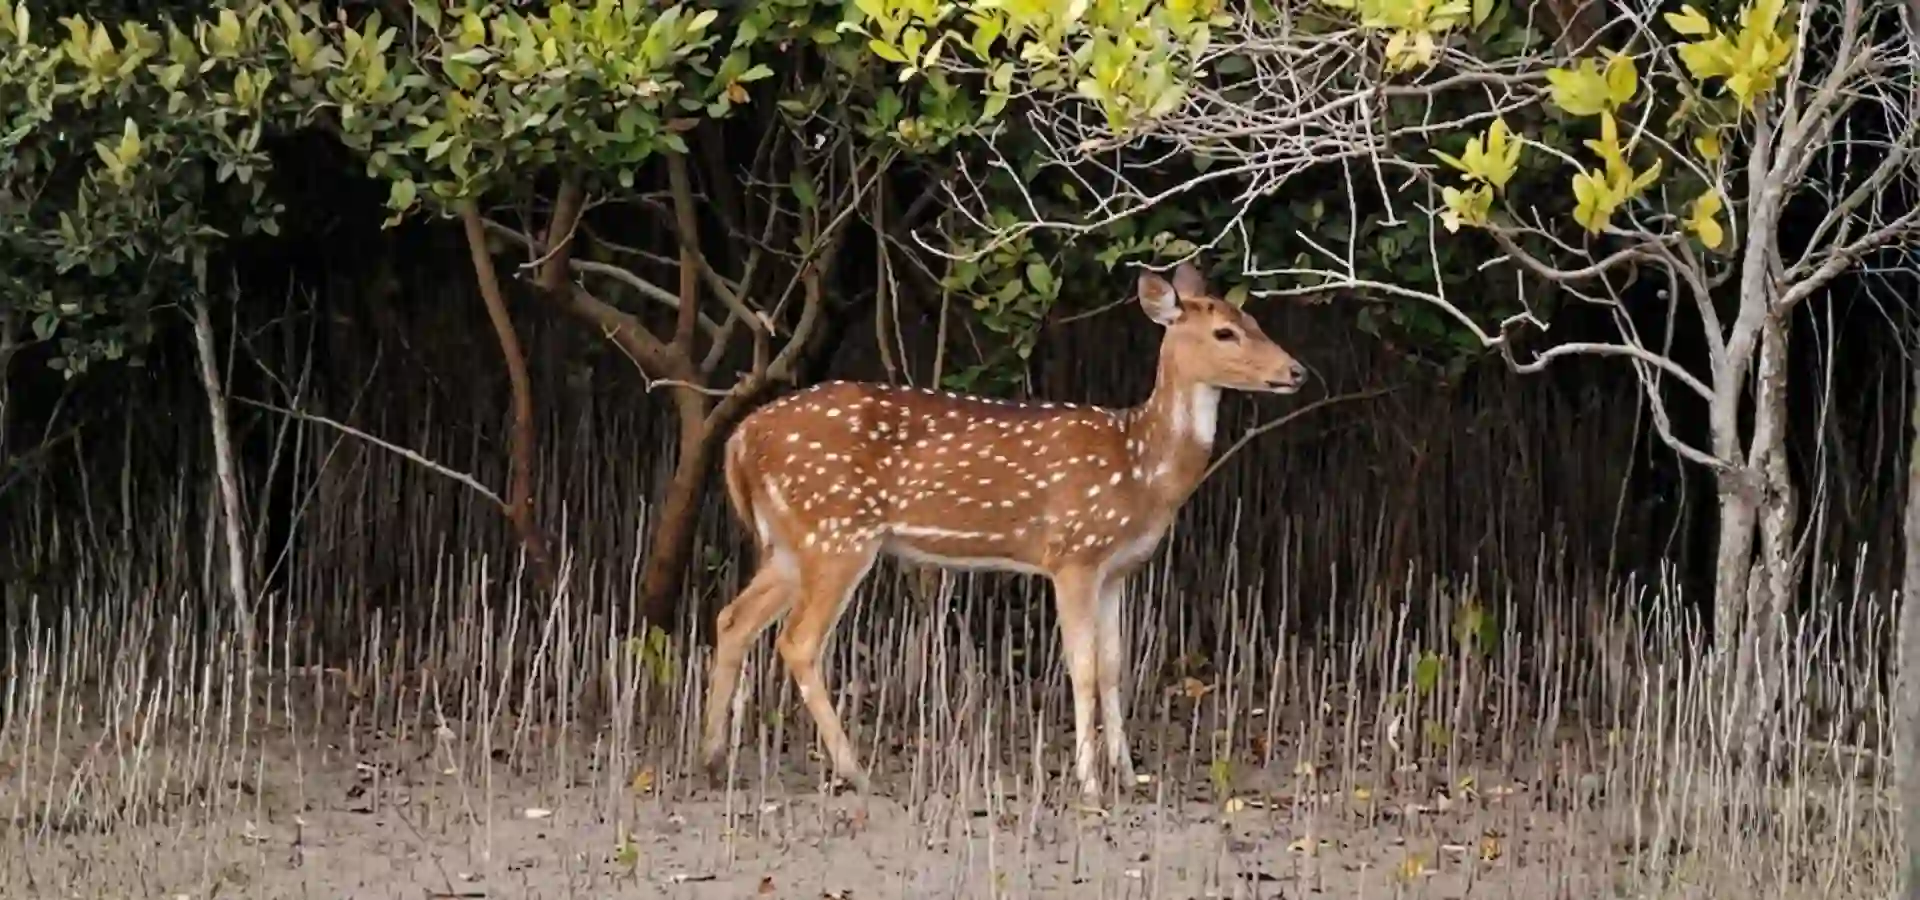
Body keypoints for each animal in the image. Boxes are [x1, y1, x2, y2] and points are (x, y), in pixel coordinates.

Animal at [699, 261, 1308, 805]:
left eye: (1254, 319)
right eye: (1225, 331)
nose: (1296, 370)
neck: (1140, 469)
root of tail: (740, 438)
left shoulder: (1117, 569)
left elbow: (1115, 667)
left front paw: (1128, 774)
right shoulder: (1073, 553)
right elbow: (1082, 668)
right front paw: (1089, 783)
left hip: (790, 541)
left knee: (733, 619)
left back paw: (712, 757)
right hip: (836, 531)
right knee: (798, 640)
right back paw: (855, 771)